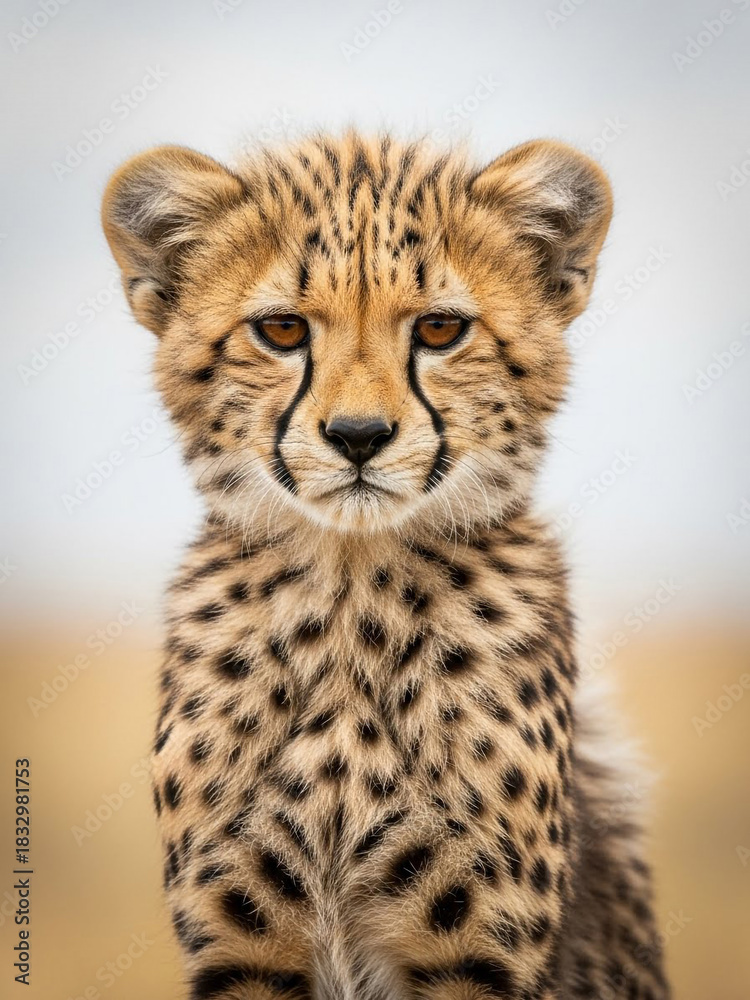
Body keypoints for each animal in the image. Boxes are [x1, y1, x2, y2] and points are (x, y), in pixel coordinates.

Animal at [102, 131, 670, 1000]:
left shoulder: (475, 955)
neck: (349, 592)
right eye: (282, 330)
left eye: (439, 330)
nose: (359, 436)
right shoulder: (246, 955)